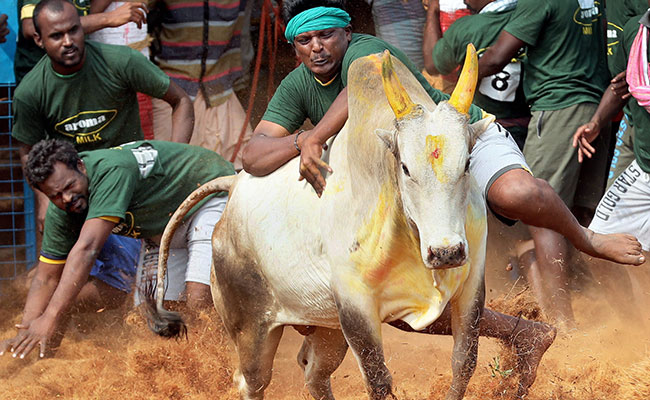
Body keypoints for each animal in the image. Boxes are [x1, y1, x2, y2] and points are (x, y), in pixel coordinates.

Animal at [146, 47, 494, 400]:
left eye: (467, 162)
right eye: (406, 168)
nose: (446, 252)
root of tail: (233, 187)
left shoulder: (472, 287)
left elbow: (464, 363)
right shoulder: (356, 309)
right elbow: (378, 381)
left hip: (327, 329)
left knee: (313, 372)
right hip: (250, 328)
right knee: (250, 380)